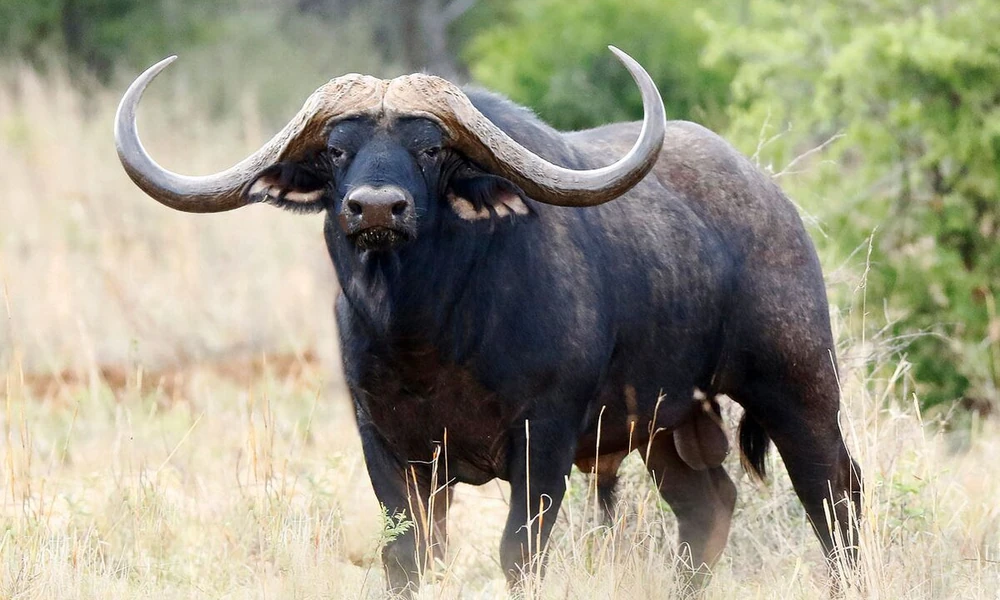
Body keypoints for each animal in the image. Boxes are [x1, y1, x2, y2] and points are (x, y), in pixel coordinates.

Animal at [115, 48, 862, 594]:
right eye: (335, 149)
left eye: (431, 149)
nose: (376, 208)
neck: (428, 337)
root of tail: (775, 200)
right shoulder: (390, 448)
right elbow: (407, 557)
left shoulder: (545, 439)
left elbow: (517, 554)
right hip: (666, 424)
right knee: (709, 505)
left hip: (798, 386)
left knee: (834, 495)